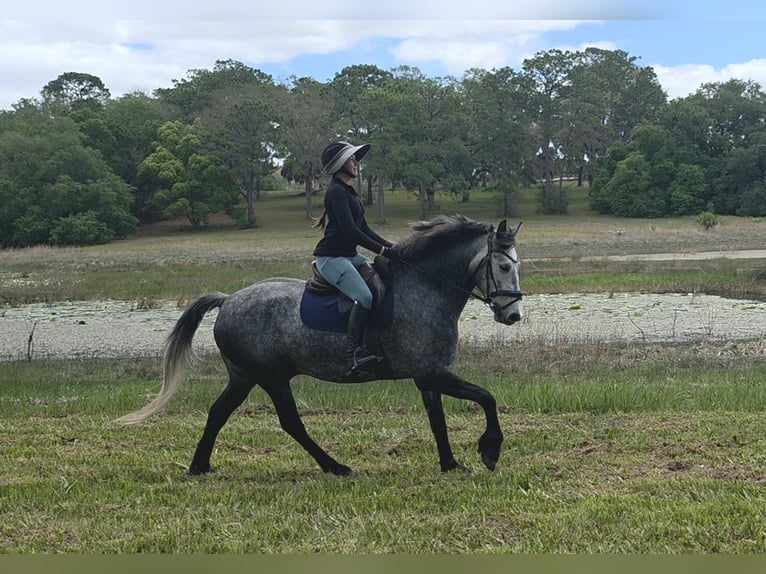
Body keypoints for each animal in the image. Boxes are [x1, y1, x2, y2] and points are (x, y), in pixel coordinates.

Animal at [116, 215, 524, 475]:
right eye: (504, 267)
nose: (514, 315)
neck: (425, 287)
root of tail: (229, 299)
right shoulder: (432, 373)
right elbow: (486, 398)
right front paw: (490, 450)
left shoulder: (429, 375)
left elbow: (438, 420)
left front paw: (451, 464)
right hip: (270, 377)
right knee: (290, 422)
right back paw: (336, 467)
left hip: (244, 377)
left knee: (218, 413)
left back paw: (200, 467)